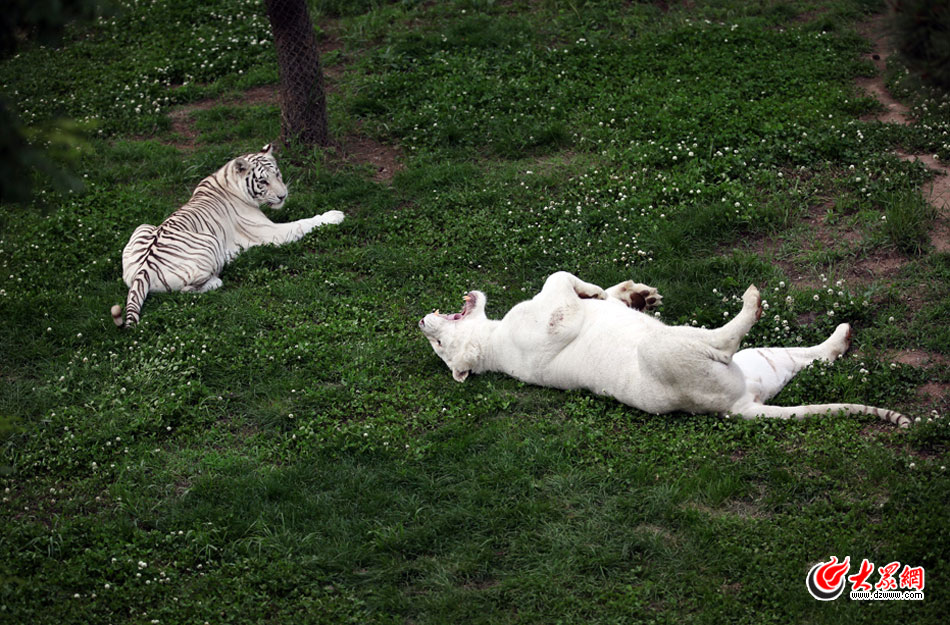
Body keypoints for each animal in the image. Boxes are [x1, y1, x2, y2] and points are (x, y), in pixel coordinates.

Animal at [112, 143, 342, 324]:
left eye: (277, 174)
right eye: (263, 181)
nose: (283, 196)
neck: (228, 180)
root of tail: (143, 269)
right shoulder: (269, 233)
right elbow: (303, 223)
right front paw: (335, 215)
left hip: (142, 226)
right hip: (210, 242)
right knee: (187, 290)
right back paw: (217, 280)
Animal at [420, 270, 912, 426]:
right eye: (440, 347)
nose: (420, 322)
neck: (490, 339)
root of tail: (740, 403)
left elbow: (585, 288)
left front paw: (635, 296)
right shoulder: (554, 325)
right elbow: (558, 281)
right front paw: (600, 292)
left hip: (763, 361)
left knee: (810, 354)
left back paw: (841, 336)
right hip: (668, 347)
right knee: (725, 336)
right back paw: (752, 300)